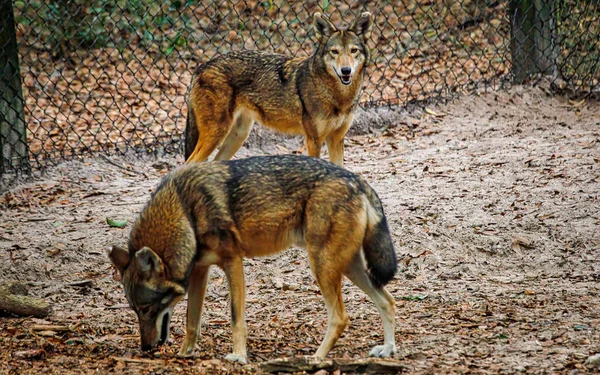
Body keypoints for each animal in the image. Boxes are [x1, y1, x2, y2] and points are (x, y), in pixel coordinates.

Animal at [108, 154, 398, 362]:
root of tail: (358, 180)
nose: (145, 348)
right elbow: (192, 321)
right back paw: (387, 350)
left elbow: (236, 318)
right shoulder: (200, 271)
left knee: (341, 317)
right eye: (135, 310)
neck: (184, 211)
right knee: (388, 301)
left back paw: (315, 358)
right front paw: (184, 353)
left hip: (323, 267)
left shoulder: (233, 262)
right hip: (348, 267)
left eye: (147, 309)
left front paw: (238, 357)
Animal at [184, 11, 370, 167]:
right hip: (217, 134)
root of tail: (201, 67)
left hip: (238, 135)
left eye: (353, 51)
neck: (336, 96)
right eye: (334, 52)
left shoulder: (337, 139)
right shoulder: (314, 141)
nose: (346, 71)